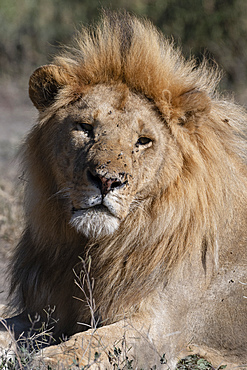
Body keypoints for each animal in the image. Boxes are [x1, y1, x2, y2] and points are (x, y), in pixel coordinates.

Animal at [0, 10, 247, 368]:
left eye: (143, 141)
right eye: (85, 128)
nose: (106, 180)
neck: (92, 249)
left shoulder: (160, 330)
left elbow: (89, 344)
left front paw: (46, 358)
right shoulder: (44, 312)